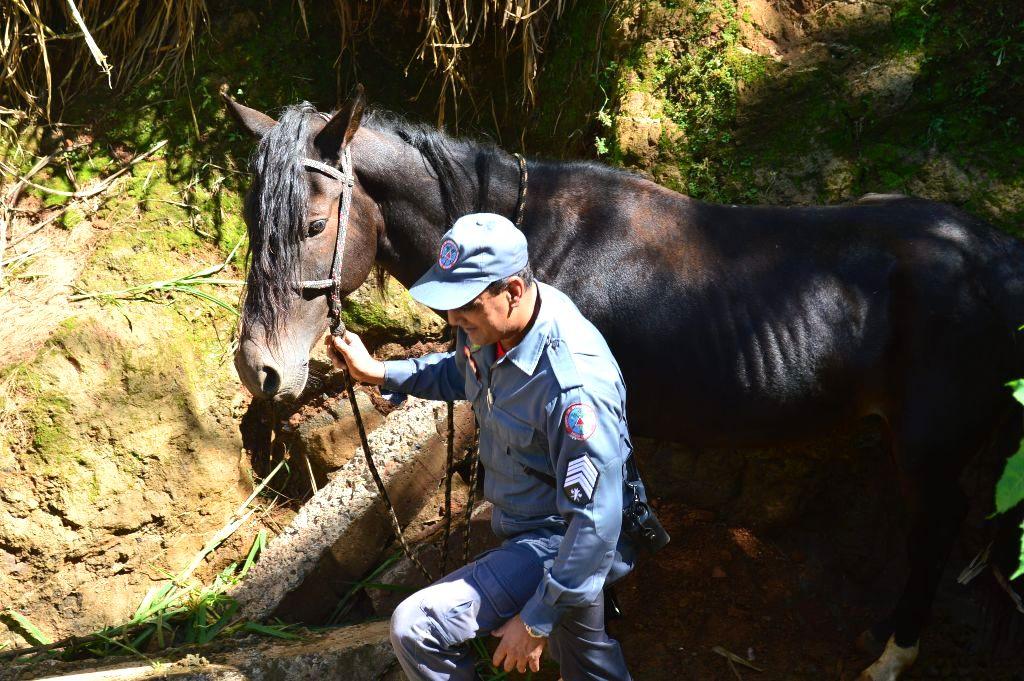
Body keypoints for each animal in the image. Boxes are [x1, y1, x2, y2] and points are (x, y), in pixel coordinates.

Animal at [224, 91, 1024, 679]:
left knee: (936, 529)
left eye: (314, 224)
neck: (535, 247)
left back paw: (893, 654)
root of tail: (997, 253)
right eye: (252, 223)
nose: (260, 368)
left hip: (929, 446)